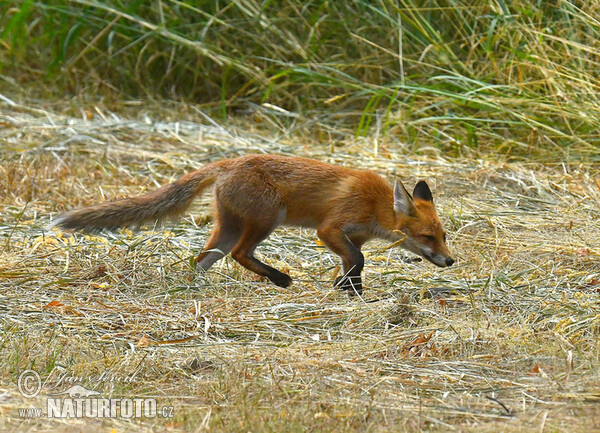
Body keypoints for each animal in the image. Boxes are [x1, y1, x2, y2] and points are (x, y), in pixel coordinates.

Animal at [52, 154, 454, 294]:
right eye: (427, 236)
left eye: (444, 235)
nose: (451, 261)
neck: (375, 206)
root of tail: (228, 162)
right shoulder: (330, 229)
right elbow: (359, 260)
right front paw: (350, 290)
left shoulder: (351, 237)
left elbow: (352, 263)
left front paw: (349, 290)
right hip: (267, 219)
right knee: (242, 255)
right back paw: (279, 279)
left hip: (227, 230)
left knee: (200, 259)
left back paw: (196, 287)